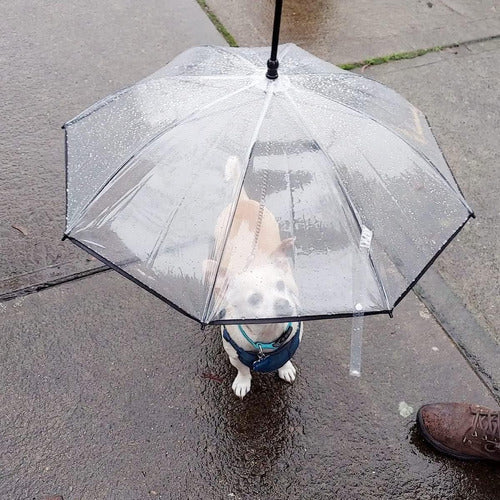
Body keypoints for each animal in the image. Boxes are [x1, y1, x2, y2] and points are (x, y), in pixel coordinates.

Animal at [205, 156, 302, 398]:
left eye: (282, 286)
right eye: (254, 299)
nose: (284, 305)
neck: (266, 339)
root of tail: (244, 200)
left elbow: (286, 357)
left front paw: (285, 368)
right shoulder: (233, 353)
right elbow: (242, 368)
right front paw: (243, 381)